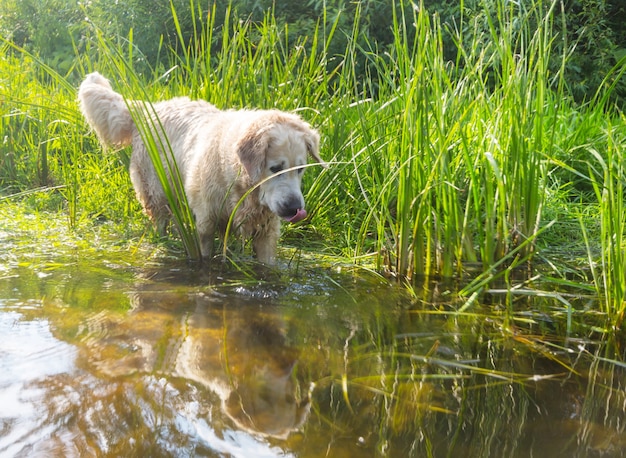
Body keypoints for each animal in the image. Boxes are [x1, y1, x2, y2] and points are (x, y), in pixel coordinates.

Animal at [75, 73, 324, 262]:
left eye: (301, 169)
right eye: (275, 168)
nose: (295, 208)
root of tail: (148, 109)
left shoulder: (266, 231)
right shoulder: (206, 222)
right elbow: (205, 255)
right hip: (155, 190)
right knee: (160, 219)